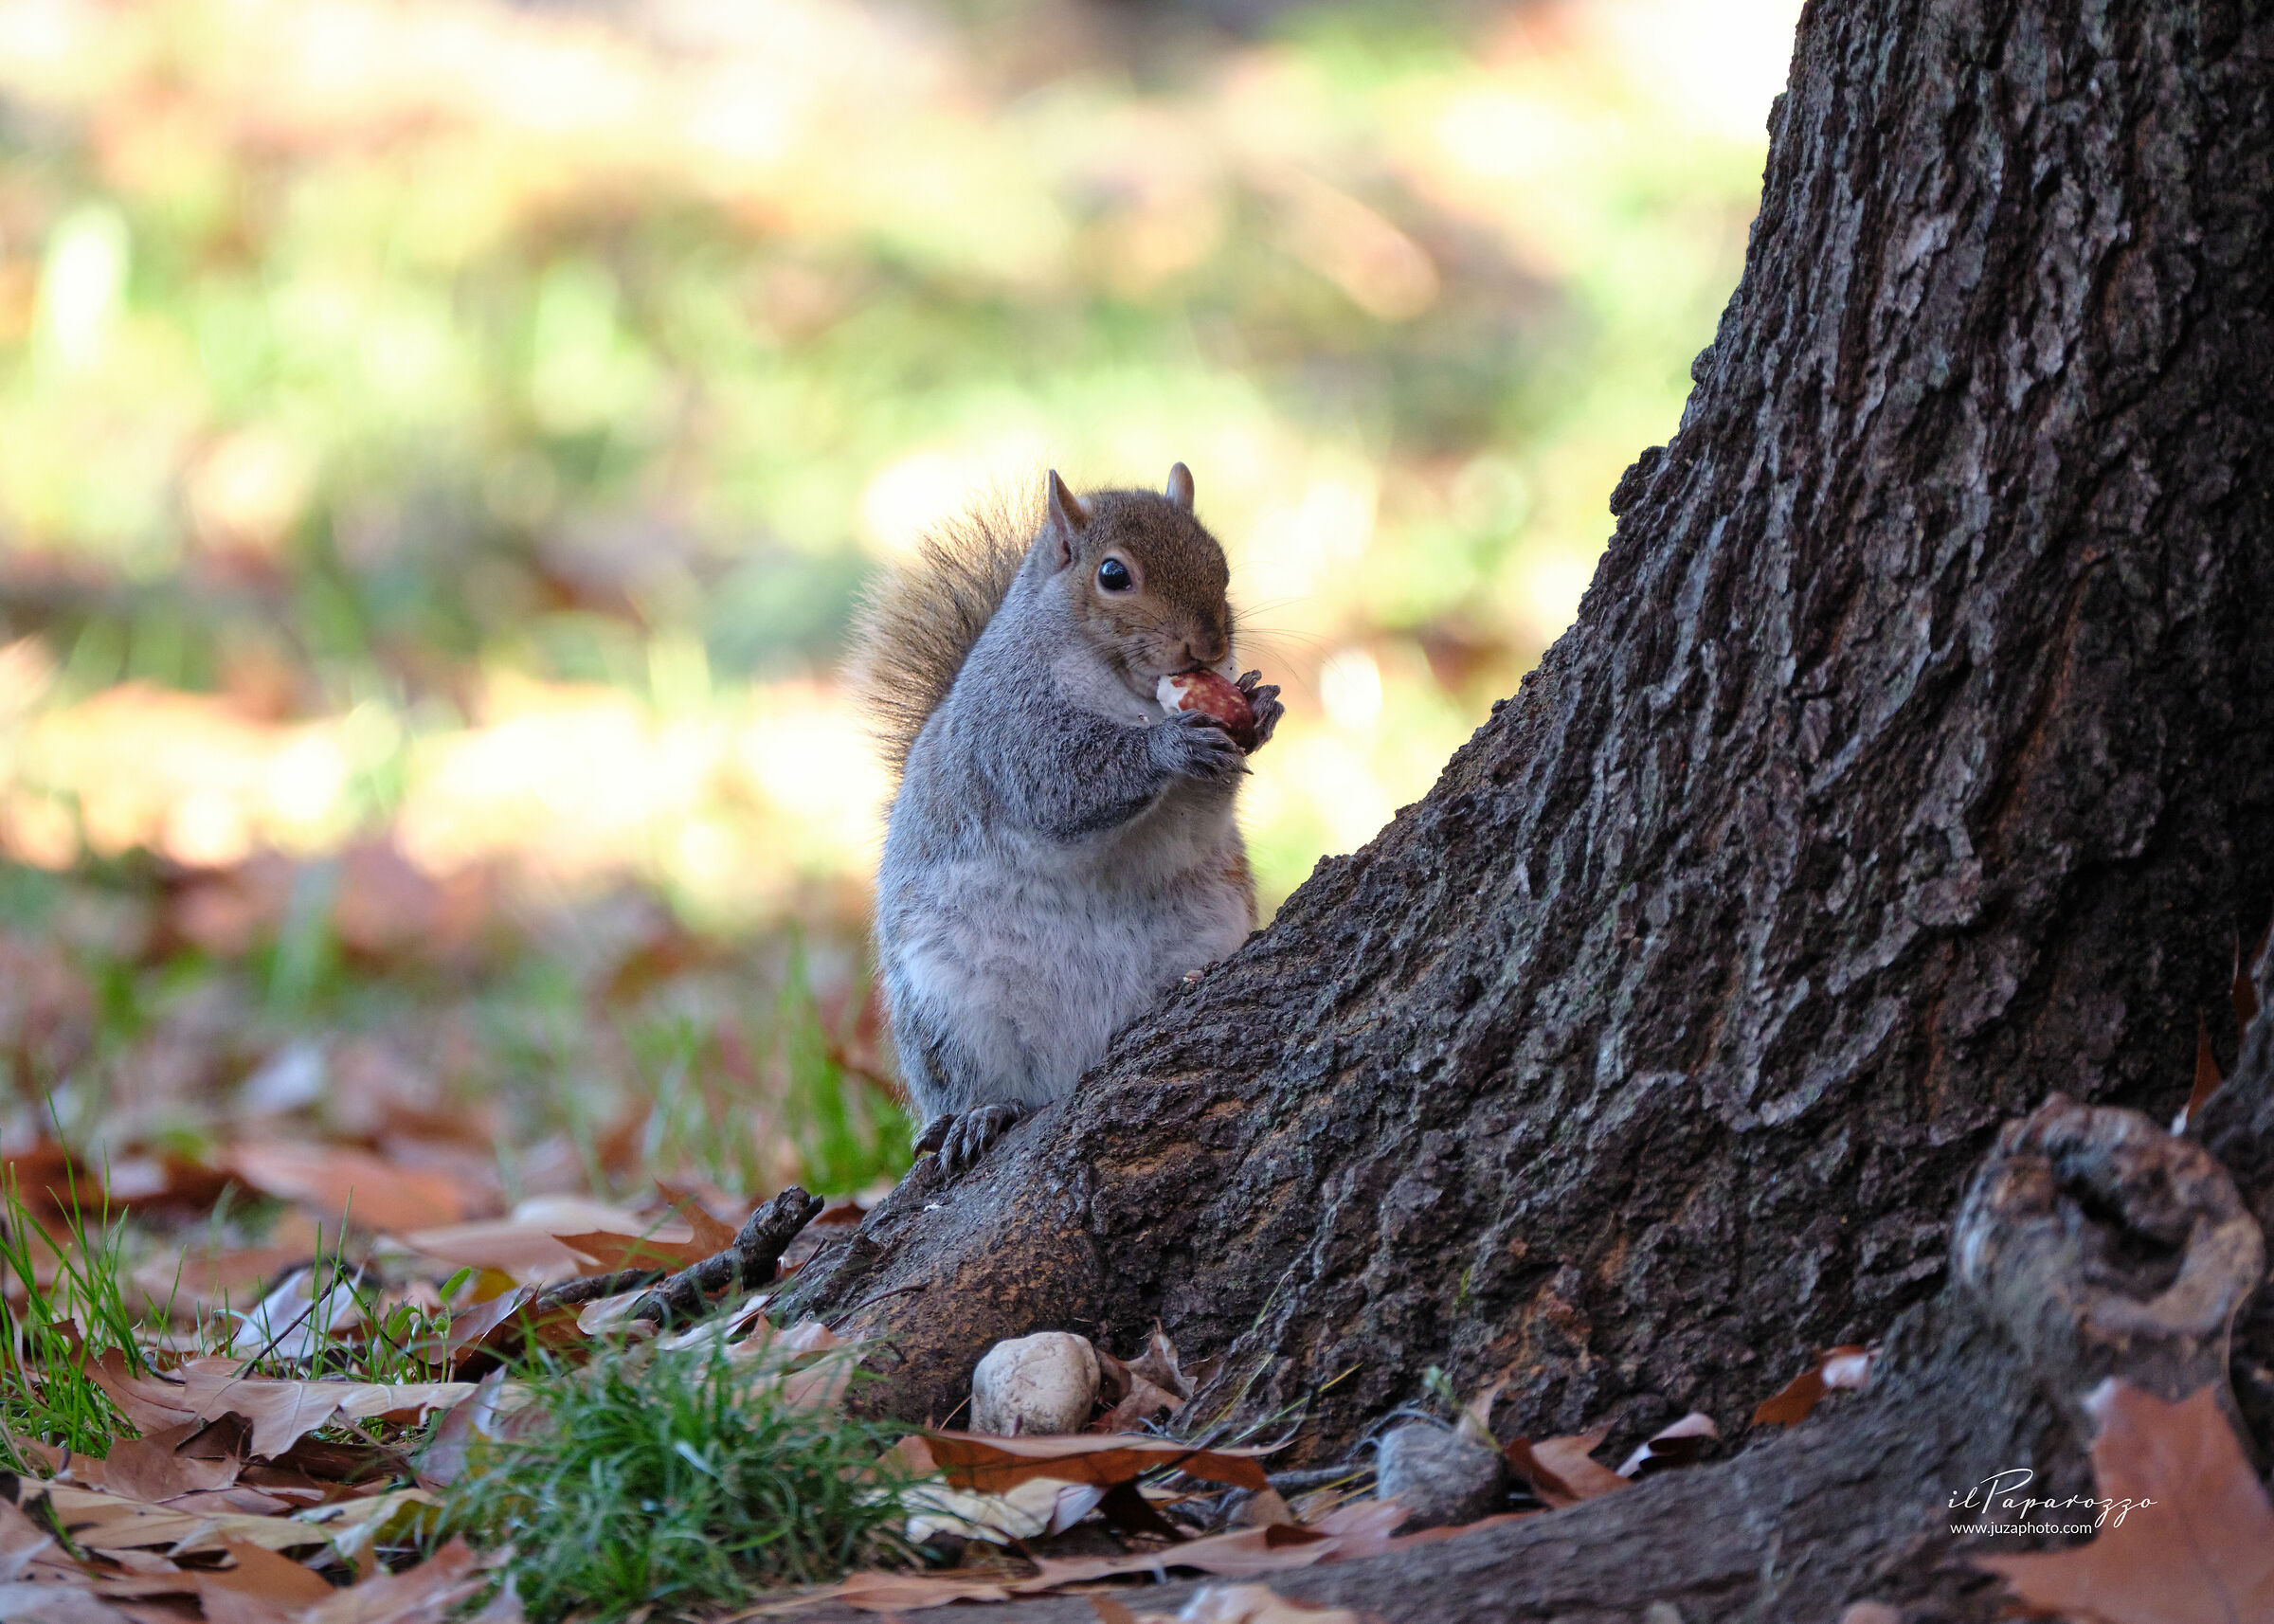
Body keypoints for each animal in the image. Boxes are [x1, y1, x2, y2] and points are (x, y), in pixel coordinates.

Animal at [852, 464, 1282, 1174]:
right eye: (1113, 575)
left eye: (1218, 561)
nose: (1210, 646)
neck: (1129, 692)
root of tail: (1074, 1066)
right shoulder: (1010, 726)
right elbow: (1062, 785)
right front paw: (1169, 747)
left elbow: (1201, 817)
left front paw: (1261, 706)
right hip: (947, 1012)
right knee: (973, 1081)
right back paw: (977, 1115)